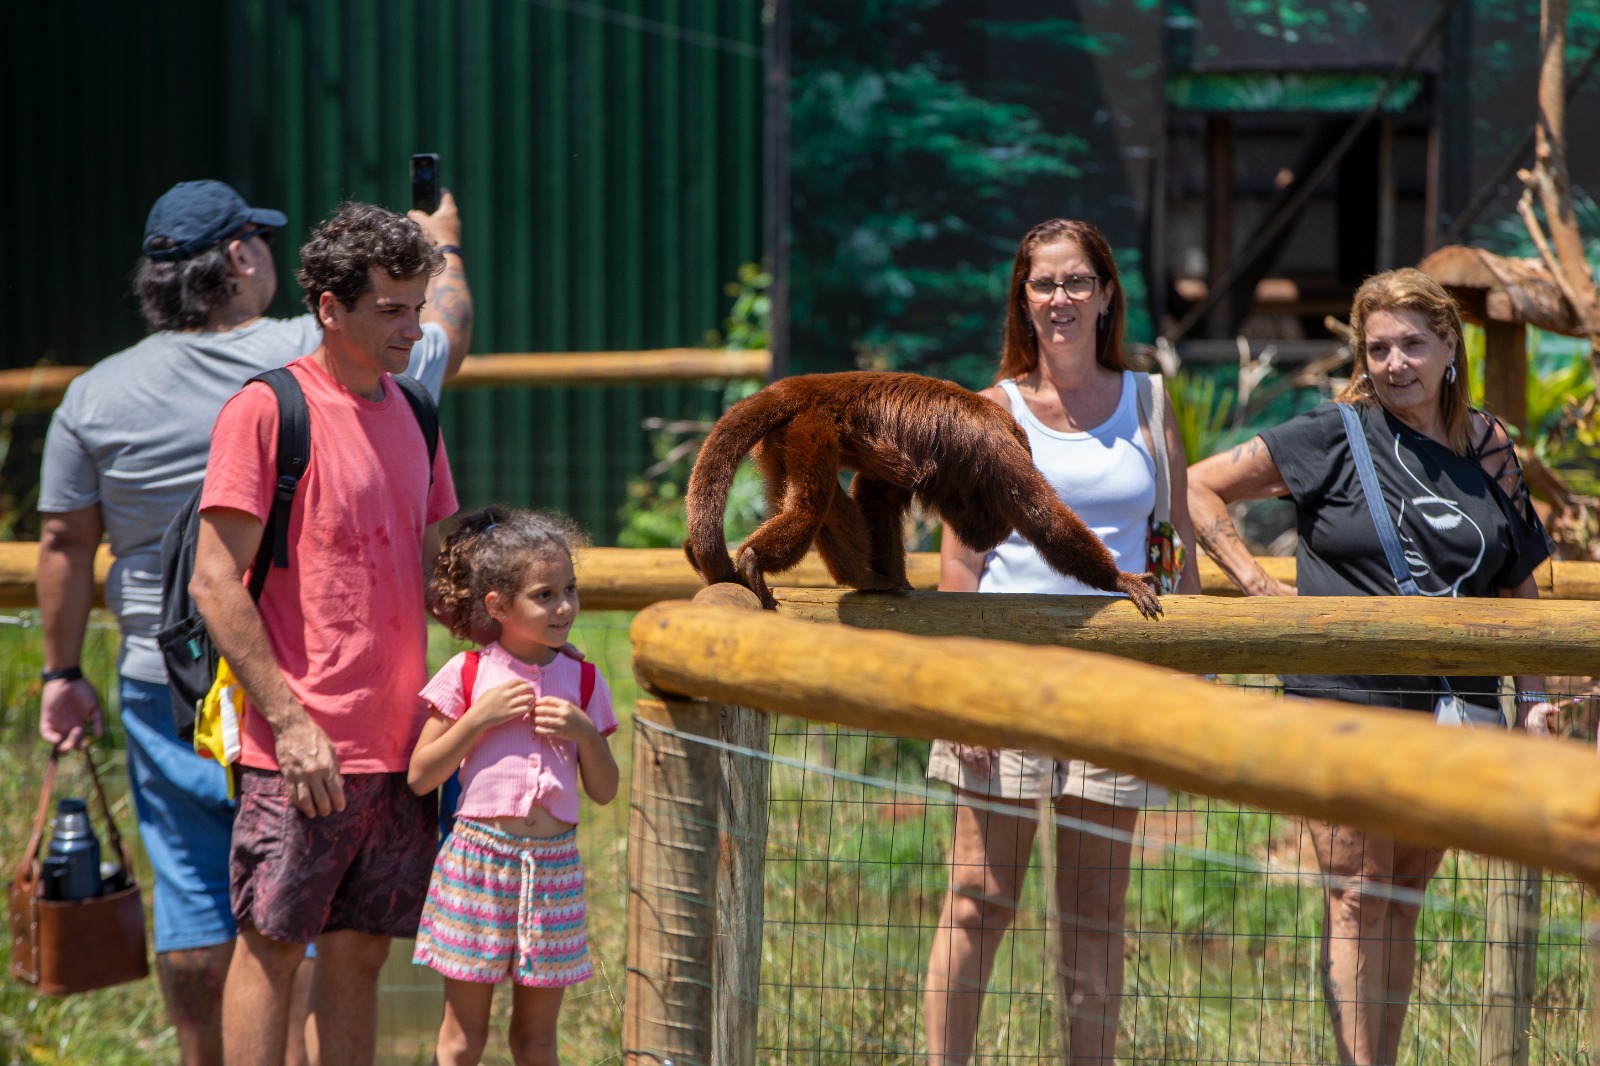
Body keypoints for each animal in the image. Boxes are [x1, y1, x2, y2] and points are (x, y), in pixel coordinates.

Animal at [678, 371, 1164, 614]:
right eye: (998, 519)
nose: (997, 533)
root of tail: (799, 386)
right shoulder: (998, 455)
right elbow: (1046, 520)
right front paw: (1120, 580)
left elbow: (876, 493)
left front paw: (894, 579)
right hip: (811, 428)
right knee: (810, 506)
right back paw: (754, 560)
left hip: (782, 441)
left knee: (820, 499)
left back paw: (868, 579)